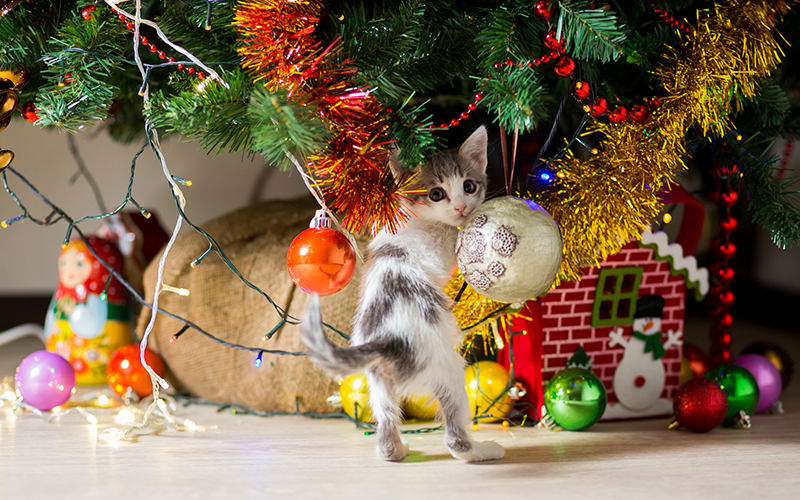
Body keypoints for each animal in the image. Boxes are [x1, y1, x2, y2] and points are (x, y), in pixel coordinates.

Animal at [300, 126, 506, 460]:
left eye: (469, 185)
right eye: (436, 194)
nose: (461, 207)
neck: (420, 218)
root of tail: (387, 339)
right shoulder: (439, 247)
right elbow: (459, 244)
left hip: (377, 379)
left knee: (385, 423)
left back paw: (395, 449)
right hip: (447, 366)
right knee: (455, 436)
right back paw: (481, 450)